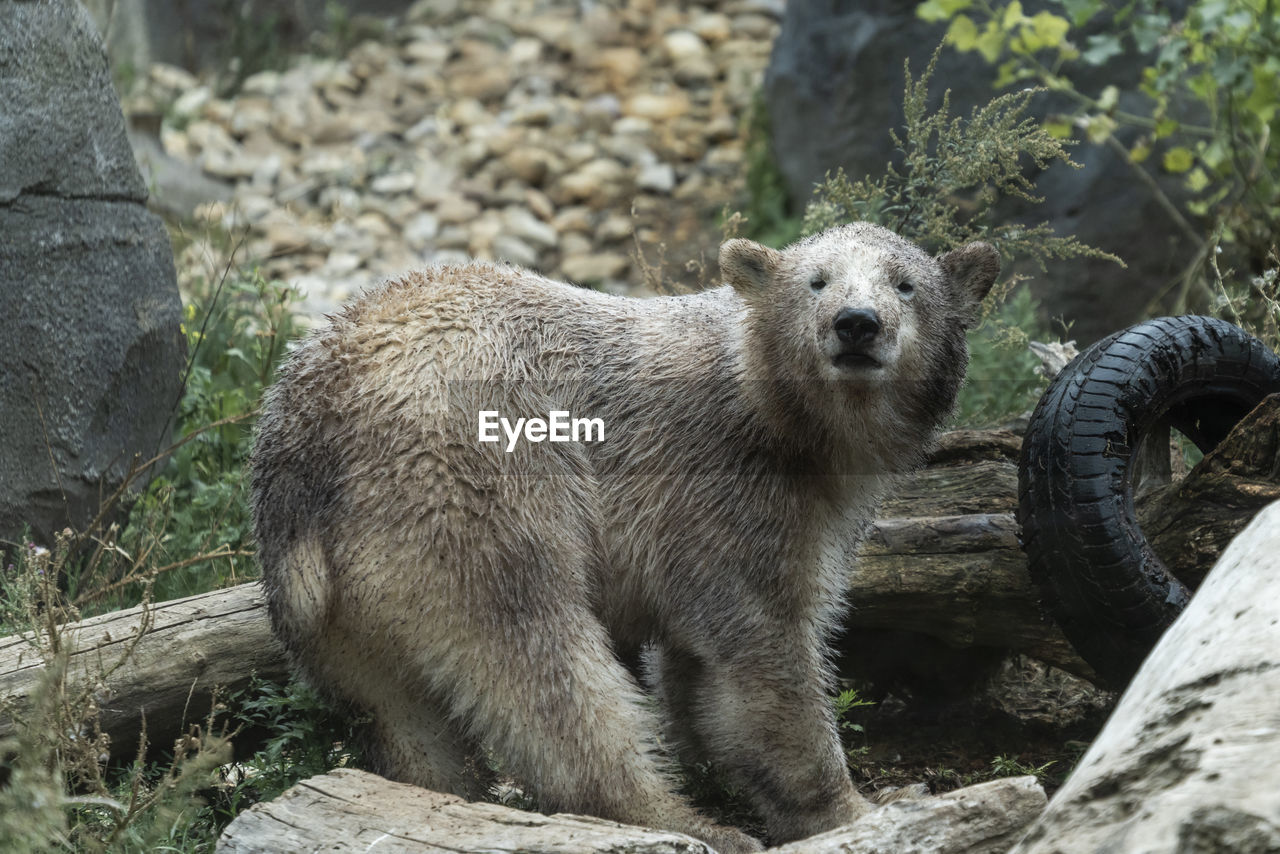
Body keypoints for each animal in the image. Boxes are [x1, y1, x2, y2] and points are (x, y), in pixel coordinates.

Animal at [249, 224, 998, 850]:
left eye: (905, 283)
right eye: (816, 281)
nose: (856, 325)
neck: (771, 408)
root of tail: (301, 438)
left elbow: (698, 672)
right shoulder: (724, 490)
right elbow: (765, 647)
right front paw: (861, 806)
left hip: (339, 608)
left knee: (402, 710)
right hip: (471, 481)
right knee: (540, 659)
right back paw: (683, 821)